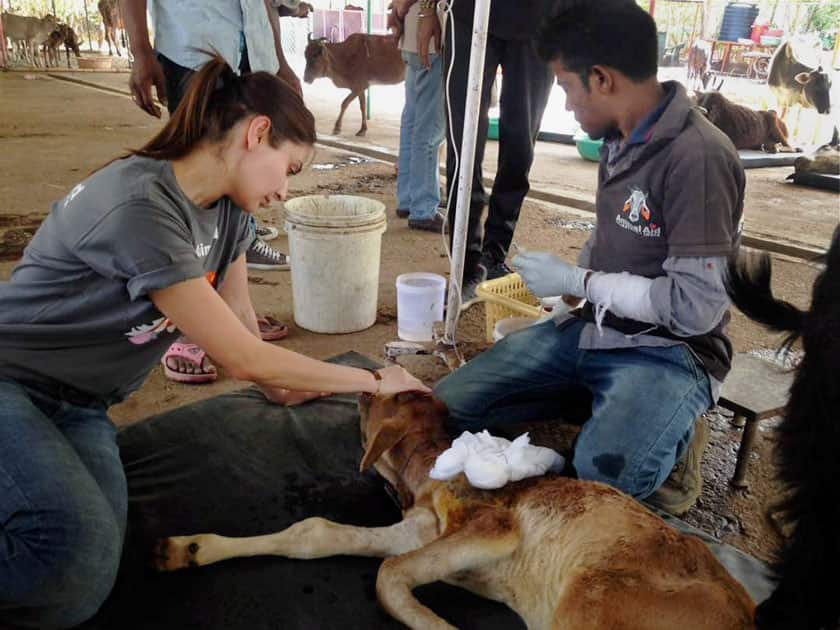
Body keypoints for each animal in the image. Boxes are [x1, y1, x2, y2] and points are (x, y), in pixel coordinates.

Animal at [153, 392, 756, 628]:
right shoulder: (420, 529)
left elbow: (389, 574)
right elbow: (317, 533)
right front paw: (187, 547)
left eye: (387, 400)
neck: (425, 477)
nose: (363, 392)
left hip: (593, 600)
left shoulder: (491, 525)